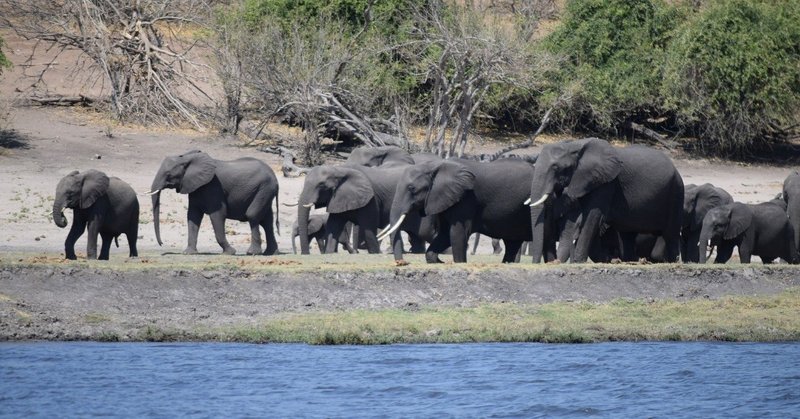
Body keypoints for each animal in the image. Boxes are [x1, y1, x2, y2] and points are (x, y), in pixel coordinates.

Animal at [148, 151, 282, 256]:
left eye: (168, 174)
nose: (161, 243)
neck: (187, 158)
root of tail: (275, 177)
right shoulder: (196, 187)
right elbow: (193, 216)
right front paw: (188, 253)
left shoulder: (213, 186)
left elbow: (218, 214)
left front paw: (230, 253)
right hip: (265, 191)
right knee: (267, 221)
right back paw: (271, 253)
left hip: (264, 189)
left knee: (253, 215)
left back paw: (252, 253)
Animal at [292, 164, 434, 260]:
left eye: (321, 185)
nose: (305, 254)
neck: (339, 170)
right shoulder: (339, 197)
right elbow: (333, 226)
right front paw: (329, 253)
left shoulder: (370, 199)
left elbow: (368, 228)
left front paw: (376, 253)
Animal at [382, 158, 536, 262]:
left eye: (411, 188)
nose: (402, 263)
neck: (435, 165)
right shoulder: (445, 199)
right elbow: (444, 234)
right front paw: (438, 261)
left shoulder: (465, 198)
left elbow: (457, 233)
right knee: (512, 243)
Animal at [528, 139, 684, 262]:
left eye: (555, 167)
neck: (574, 144)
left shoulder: (606, 183)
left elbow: (592, 216)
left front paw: (578, 262)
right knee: (628, 236)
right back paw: (630, 261)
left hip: (676, 192)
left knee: (671, 234)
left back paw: (672, 261)